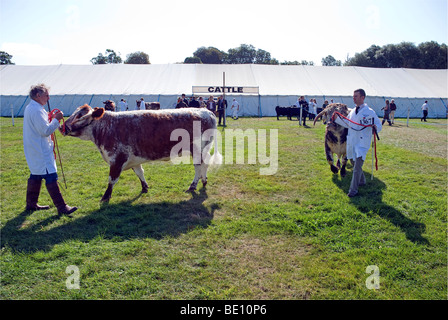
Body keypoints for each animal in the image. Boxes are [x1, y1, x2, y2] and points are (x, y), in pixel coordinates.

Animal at [64, 105, 221, 202]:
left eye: (80, 116)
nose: (62, 127)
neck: (107, 127)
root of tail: (207, 111)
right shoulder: (134, 159)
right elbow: (140, 172)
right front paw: (145, 187)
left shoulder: (117, 159)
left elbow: (112, 179)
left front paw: (105, 197)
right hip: (203, 150)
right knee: (204, 165)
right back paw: (204, 181)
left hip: (197, 149)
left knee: (198, 166)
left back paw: (193, 185)